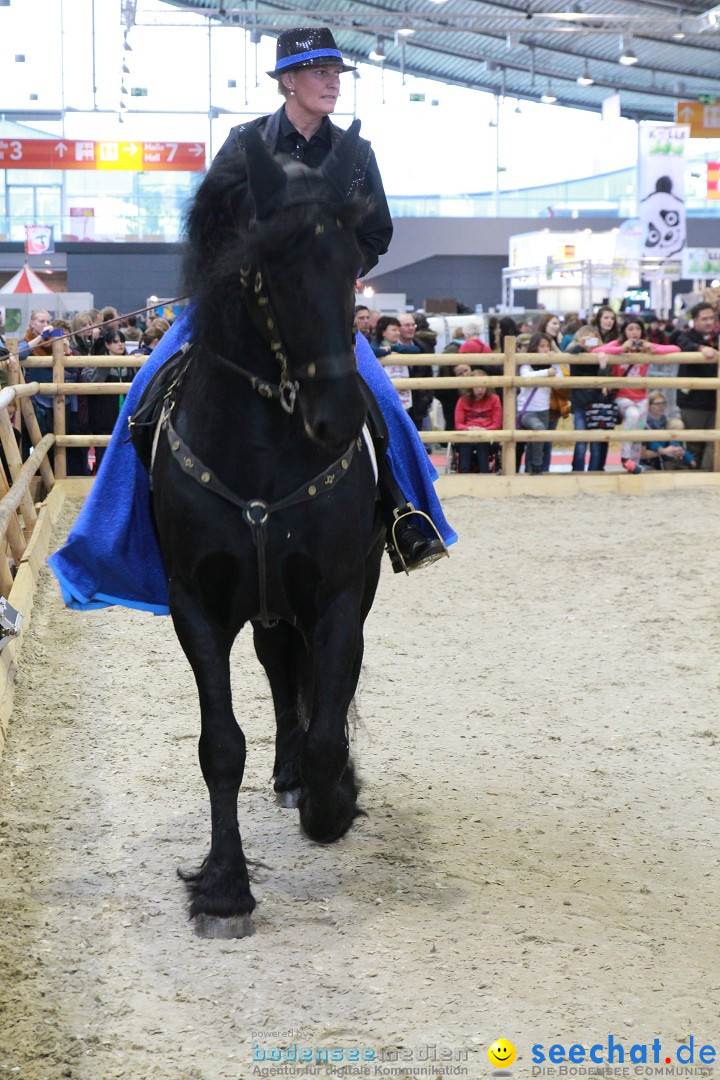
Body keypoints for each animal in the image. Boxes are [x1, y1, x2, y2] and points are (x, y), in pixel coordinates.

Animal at [142, 122, 386, 937]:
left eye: (351, 263)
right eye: (265, 268)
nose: (336, 419)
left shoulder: (339, 596)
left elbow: (327, 736)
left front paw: (332, 804)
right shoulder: (196, 605)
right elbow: (221, 745)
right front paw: (224, 887)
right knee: (281, 672)